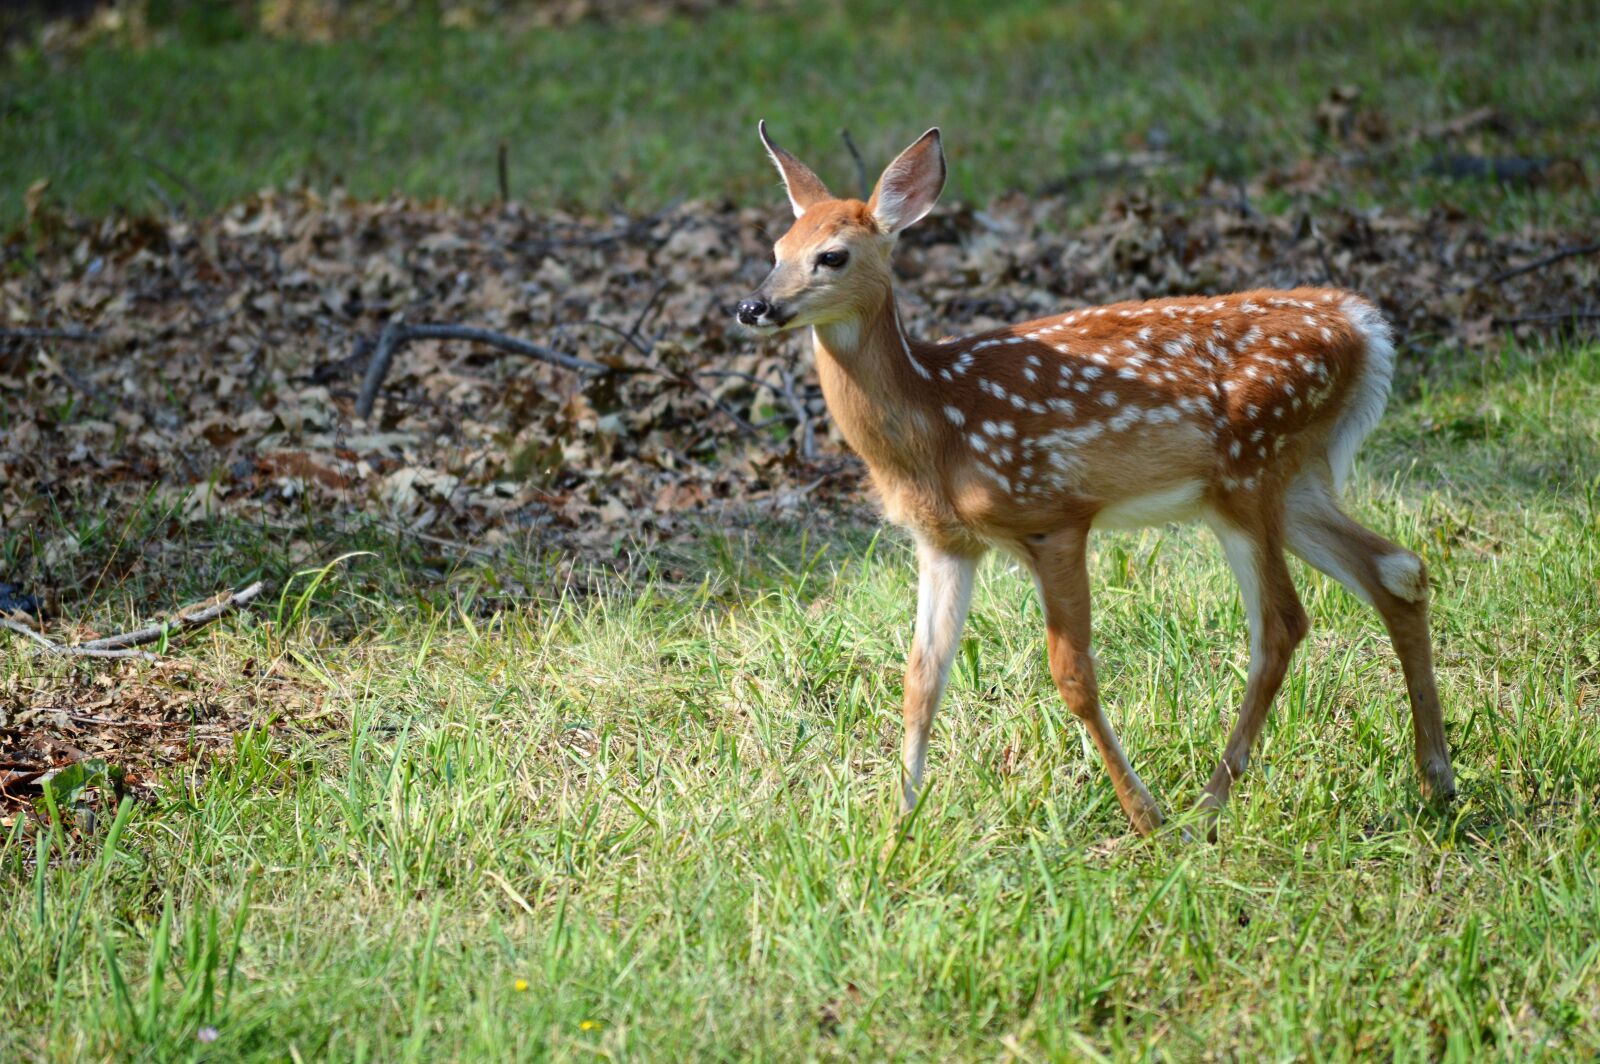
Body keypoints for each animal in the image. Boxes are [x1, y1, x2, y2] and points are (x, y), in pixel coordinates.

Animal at [735, 123, 1457, 838]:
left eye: (832, 256)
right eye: (776, 248)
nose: (754, 305)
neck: (938, 421)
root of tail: (1365, 330)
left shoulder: (1053, 516)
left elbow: (1073, 676)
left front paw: (1144, 815)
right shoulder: (944, 542)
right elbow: (921, 679)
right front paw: (899, 828)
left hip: (1248, 474)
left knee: (1281, 624)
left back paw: (1204, 807)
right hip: (1291, 480)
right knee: (1397, 568)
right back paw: (1436, 781)